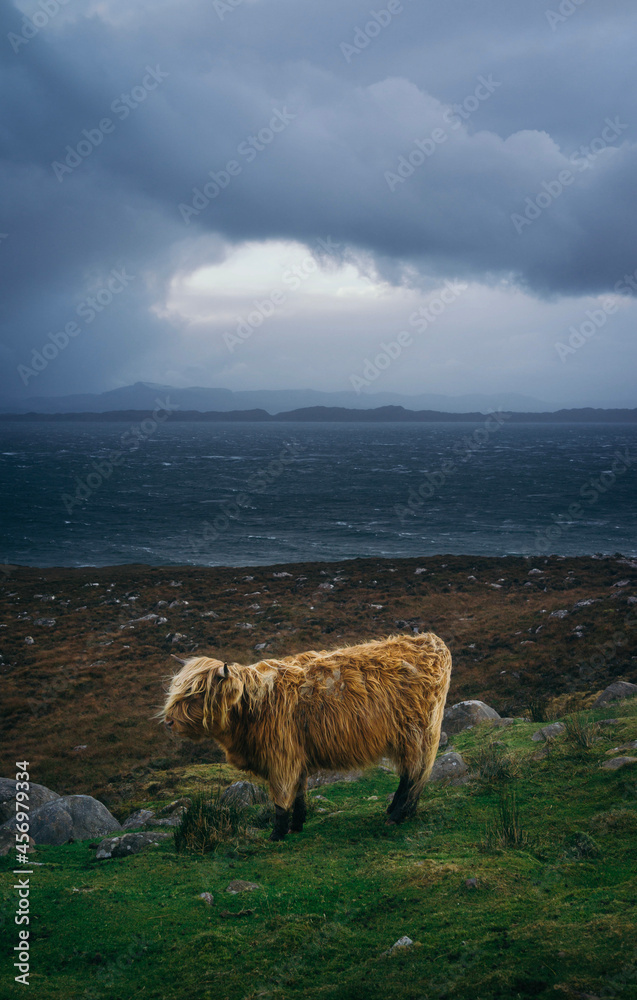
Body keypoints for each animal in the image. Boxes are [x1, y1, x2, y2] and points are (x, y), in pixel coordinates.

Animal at [160, 632, 451, 841]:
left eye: (197, 693)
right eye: (178, 689)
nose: (169, 721)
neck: (252, 705)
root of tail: (430, 641)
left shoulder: (281, 755)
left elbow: (281, 798)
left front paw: (276, 834)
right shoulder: (296, 754)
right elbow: (299, 792)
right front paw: (296, 825)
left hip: (415, 735)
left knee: (413, 774)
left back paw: (398, 814)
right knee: (412, 775)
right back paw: (399, 810)